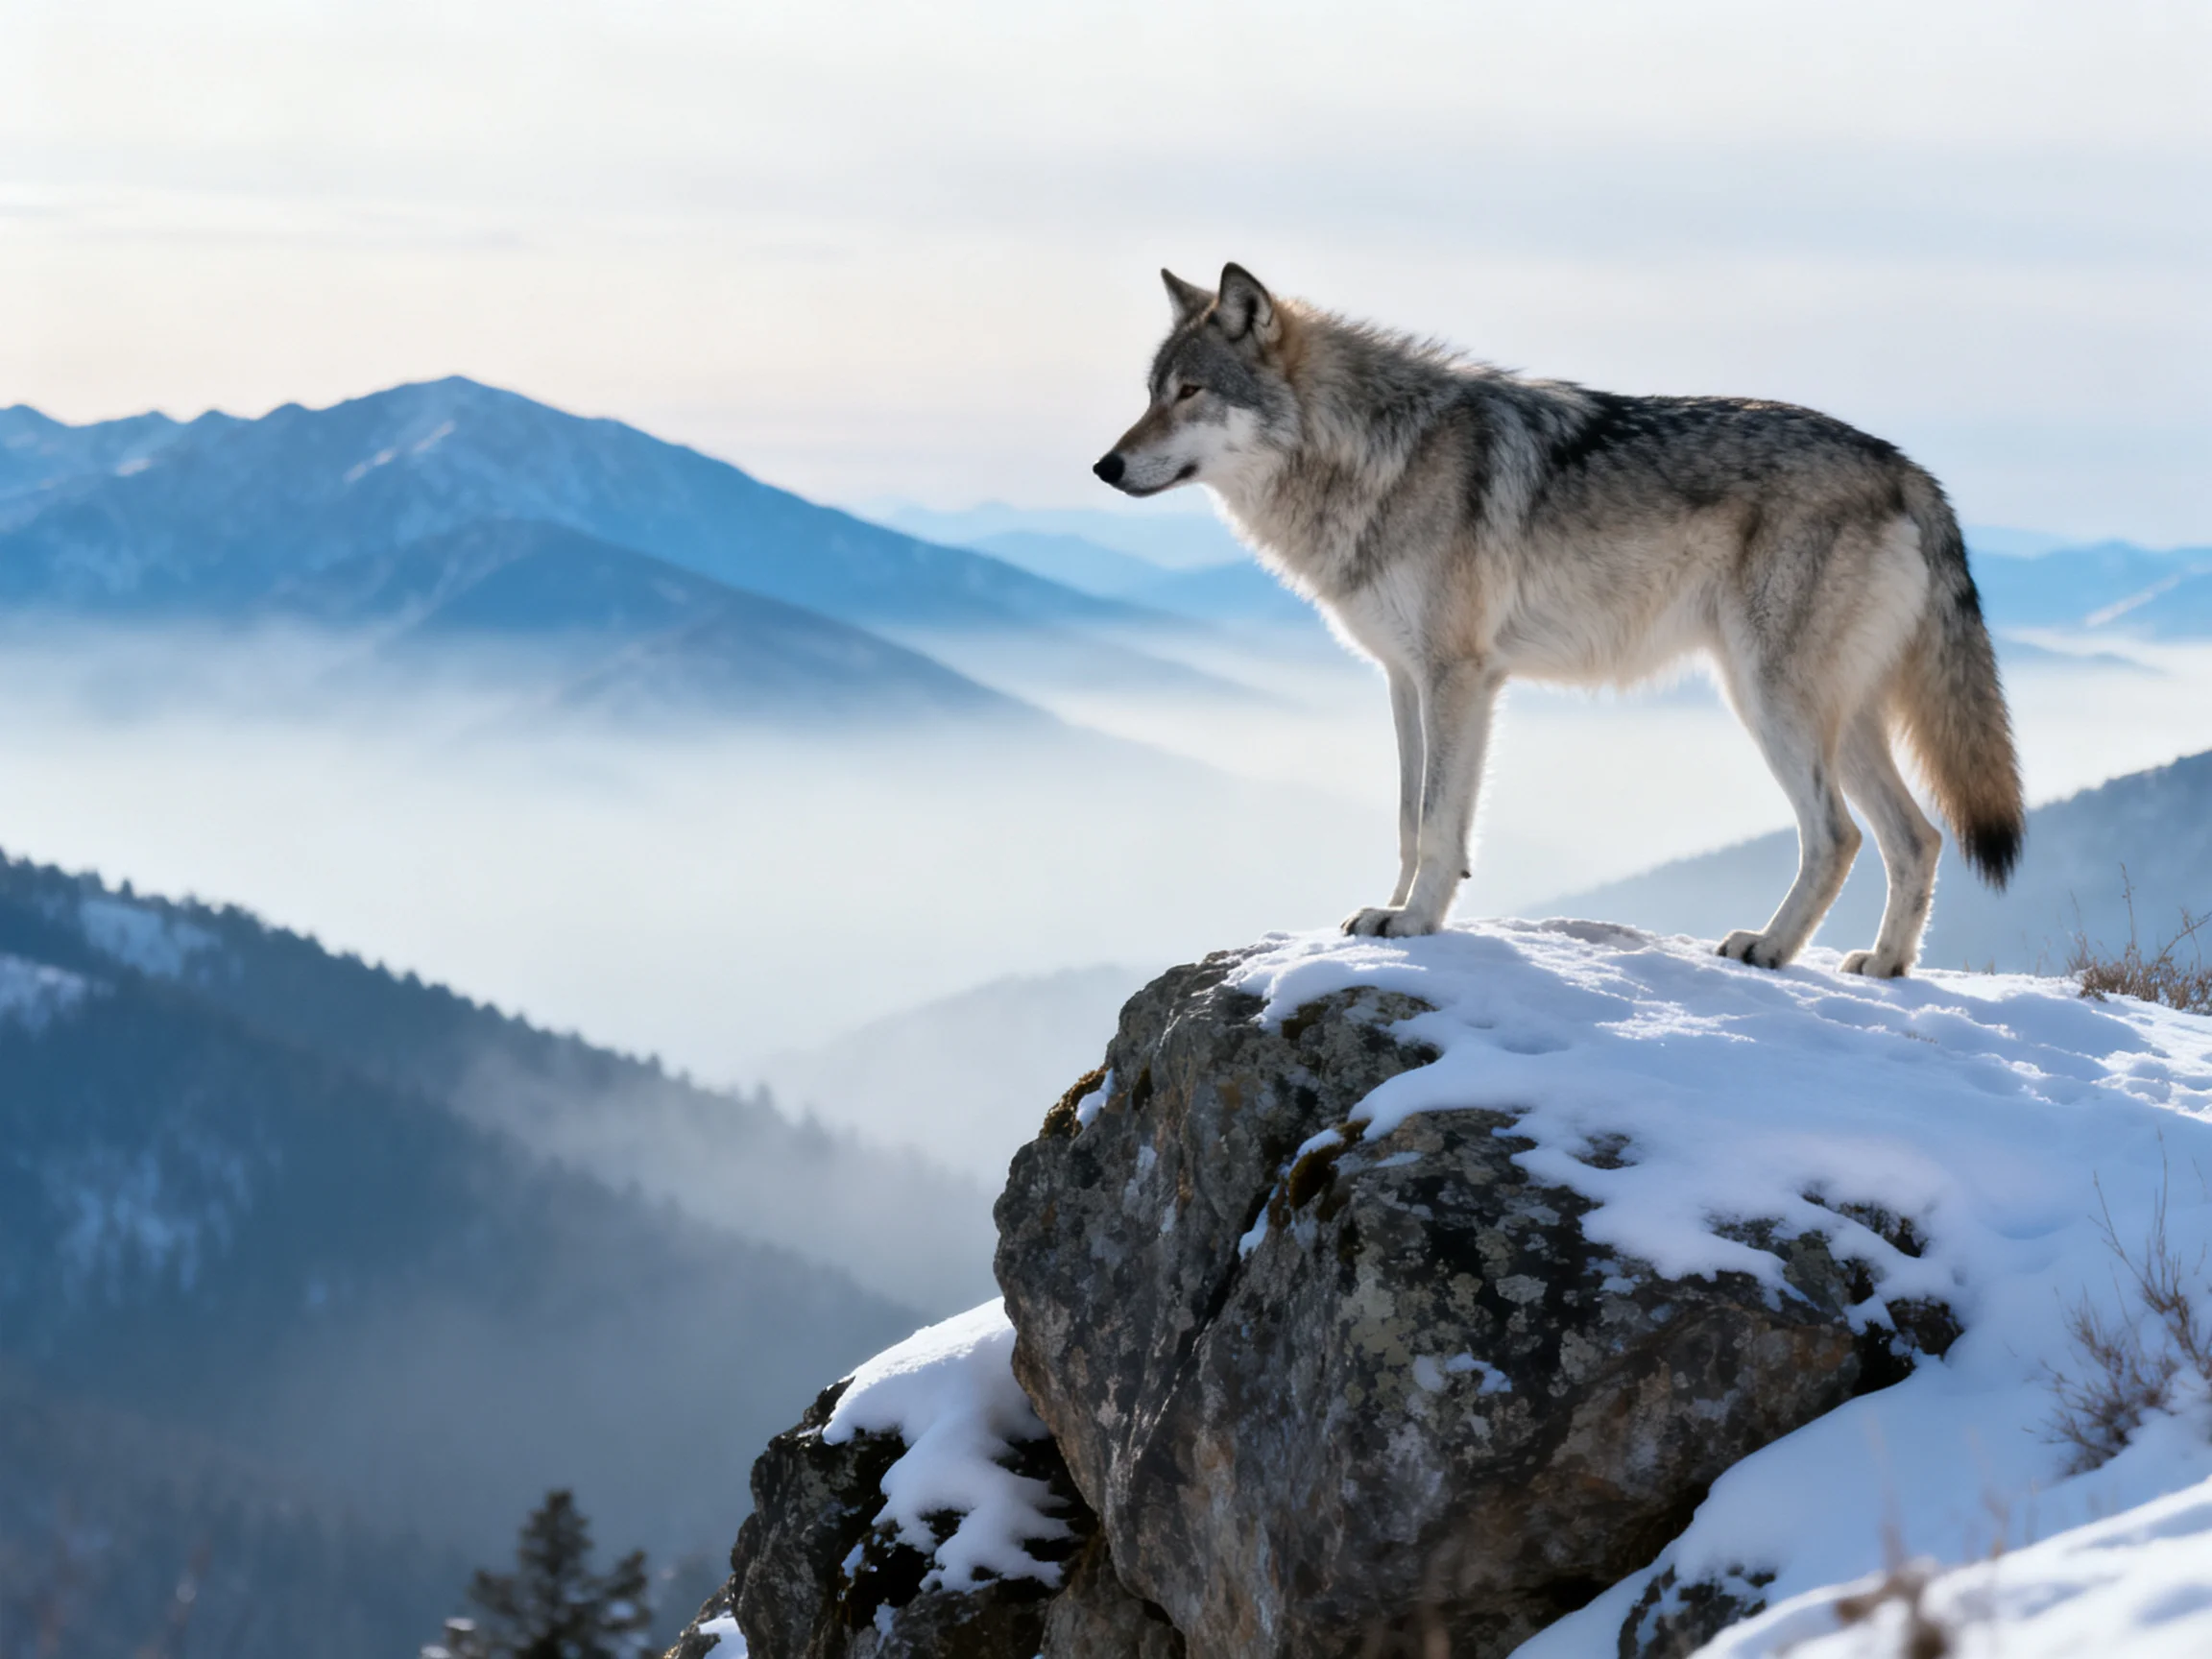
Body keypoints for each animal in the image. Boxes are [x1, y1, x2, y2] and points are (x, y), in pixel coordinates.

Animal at [1093, 264, 2023, 975]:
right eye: (1149, 393)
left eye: (1190, 392)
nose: (1105, 466)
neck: (1375, 454)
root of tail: (1904, 468)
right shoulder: (1404, 679)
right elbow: (1408, 821)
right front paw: (1387, 914)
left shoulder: (1459, 676)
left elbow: (1438, 822)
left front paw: (1415, 924)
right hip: (1839, 719)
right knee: (1919, 839)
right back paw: (1885, 966)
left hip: (1771, 704)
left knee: (1837, 836)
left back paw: (1770, 948)